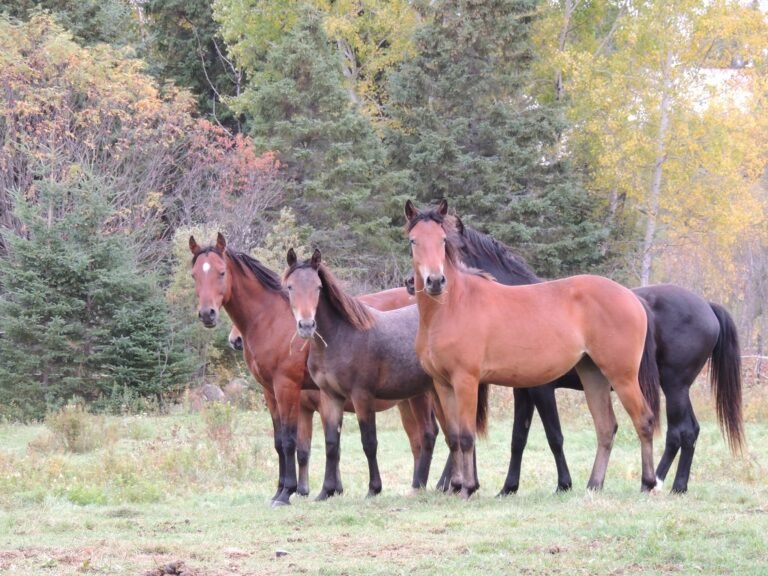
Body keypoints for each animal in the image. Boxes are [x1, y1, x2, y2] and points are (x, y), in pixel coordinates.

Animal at [188, 234, 436, 504]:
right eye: (194, 275)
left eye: (221, 273)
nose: (207, 314)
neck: (272, 319)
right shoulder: (272, 392)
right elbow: (285, 442)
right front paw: (288, 489)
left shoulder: (287, 387)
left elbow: (290, 441)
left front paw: (287, 491)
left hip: (420, 395)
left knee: (428, 434)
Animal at [284, 248, 492, 500]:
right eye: (290, 287)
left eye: (318, 287)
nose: (306, 325)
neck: (340, 336)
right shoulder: (330, 396)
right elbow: (332, 444)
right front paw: (326, 491)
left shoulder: (362, 396)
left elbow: (369, 442)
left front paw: (374, 488)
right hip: (437, 391)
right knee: (451, 436)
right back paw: (454, 486)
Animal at [408, 209, 744, 492]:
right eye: (413, 241)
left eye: (451, 245)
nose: (423, 282)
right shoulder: (519, 389)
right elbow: (516, 438)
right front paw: (505, 487)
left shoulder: (538, 389)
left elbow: (552, 436)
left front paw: (559, 484)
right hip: (650, 384)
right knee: (671, 431)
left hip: (664, 385)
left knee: (672, 430)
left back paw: (660, 482)